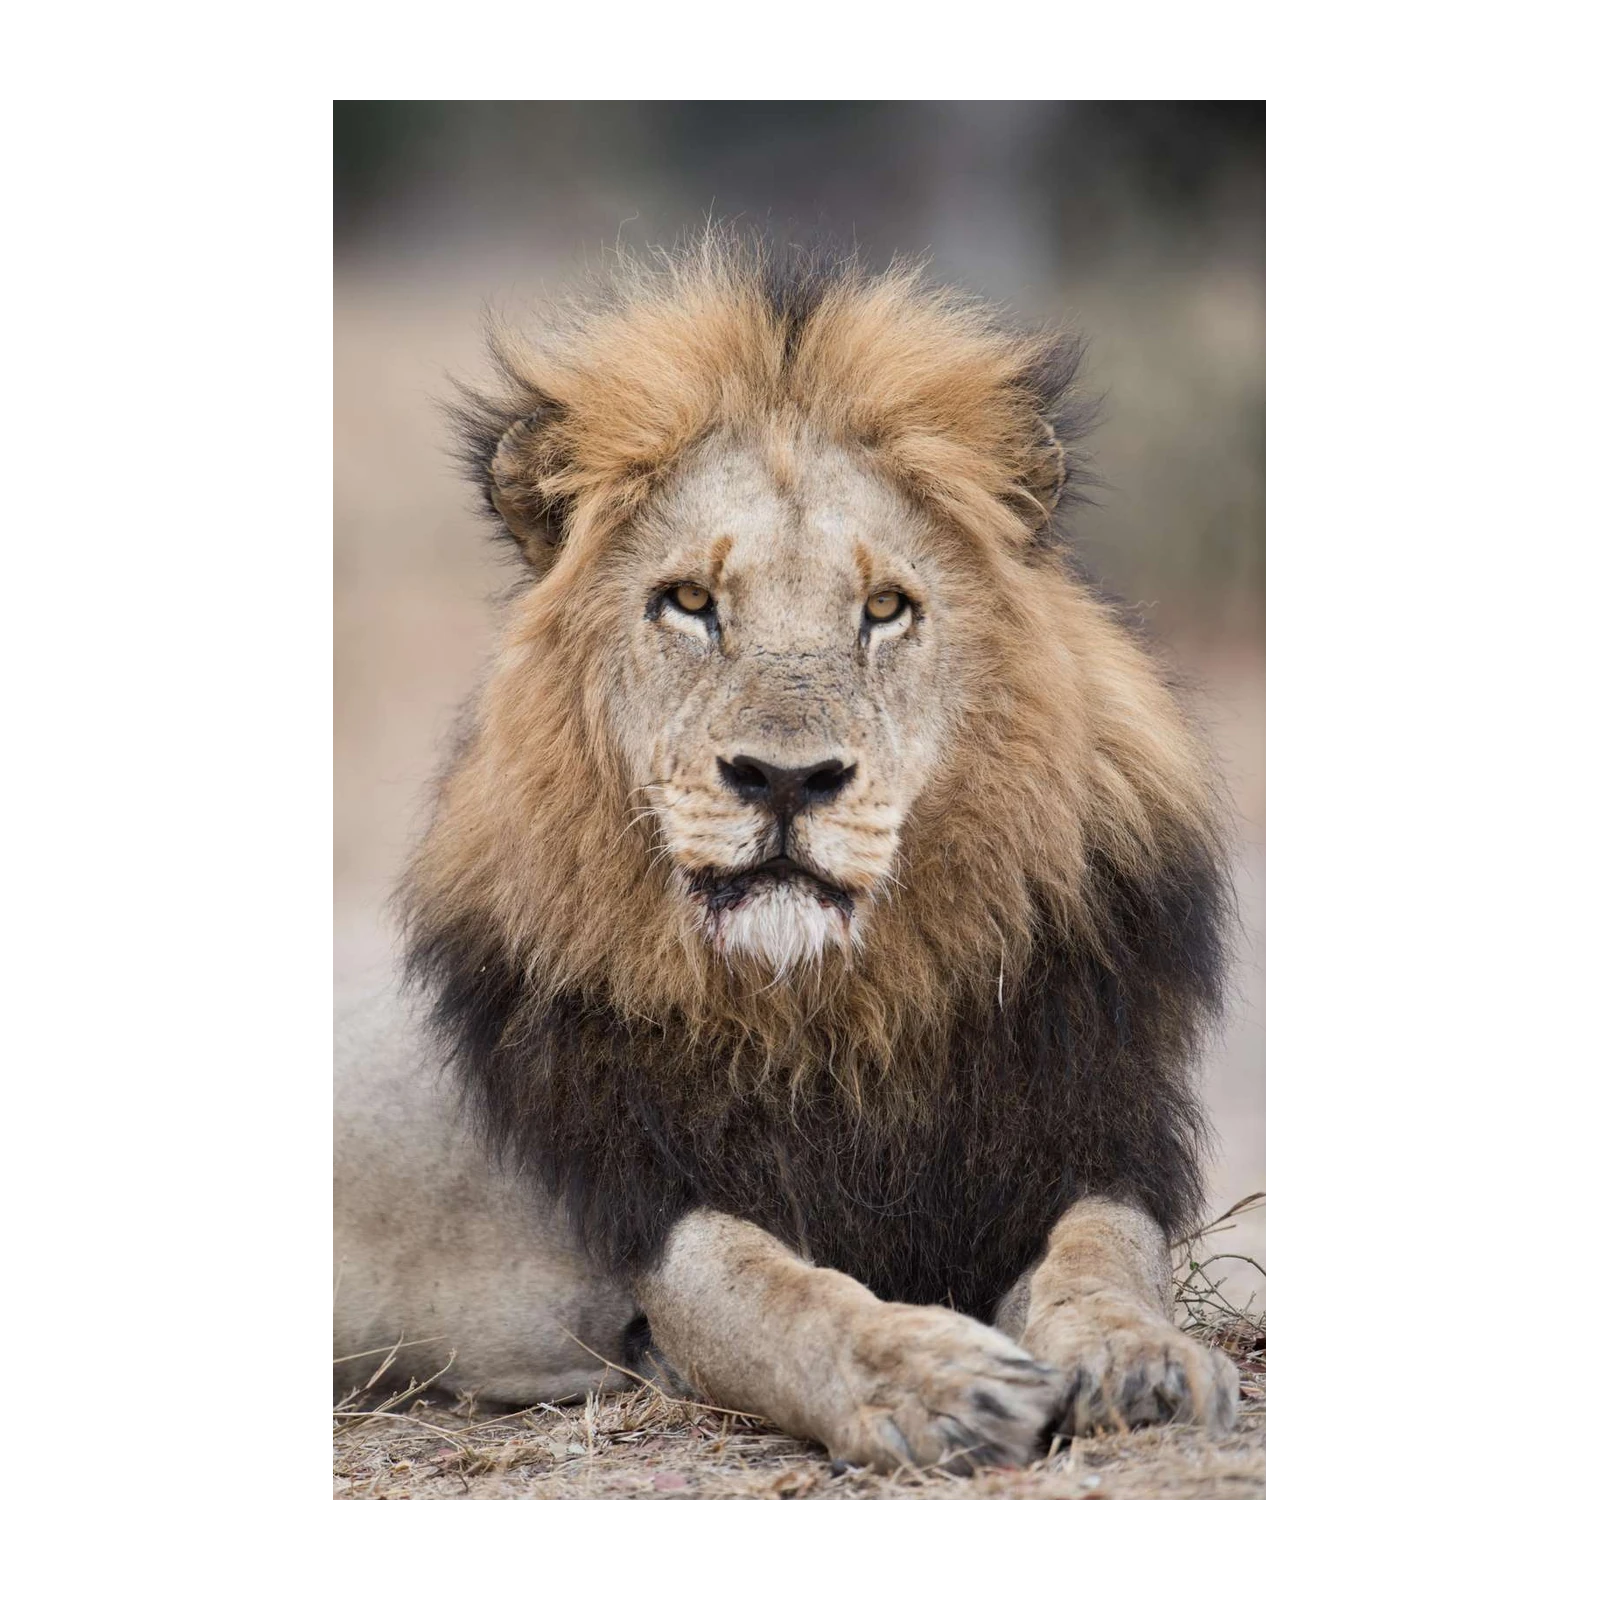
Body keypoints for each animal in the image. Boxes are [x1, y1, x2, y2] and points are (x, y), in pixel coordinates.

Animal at [329, 232, 1239, 1469]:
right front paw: (934, 1378)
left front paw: (1143, 1362)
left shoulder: (1083, 1135)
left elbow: (1103, 1257)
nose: (786, 780)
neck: (836, 1013)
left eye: (886, 607)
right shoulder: (648, 1214)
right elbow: (778, 1295)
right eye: (689, 601)